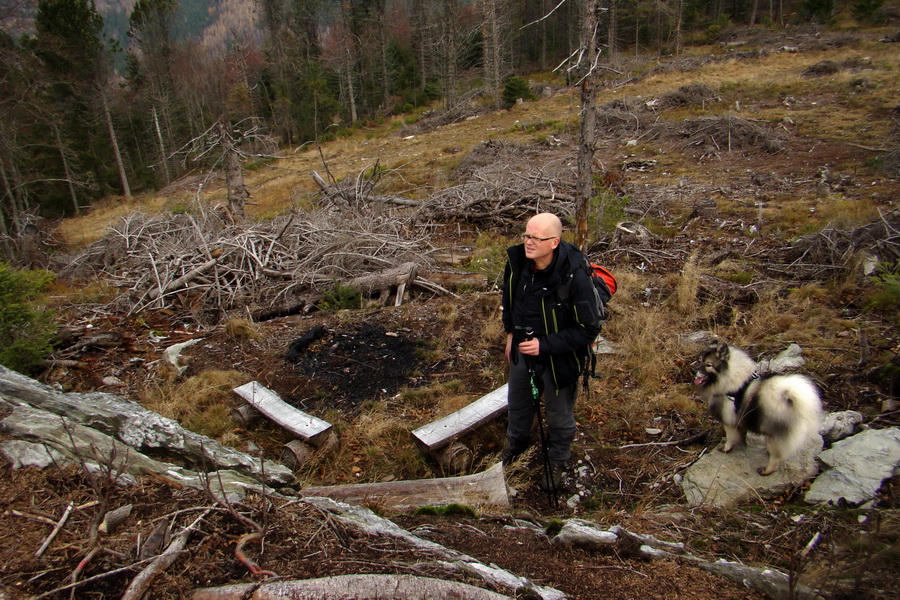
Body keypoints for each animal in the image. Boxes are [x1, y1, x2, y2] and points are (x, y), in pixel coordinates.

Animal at [696, 340, 824, 476]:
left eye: (708, 364)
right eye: (699, 361)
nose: (694, 371)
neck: (732, 379)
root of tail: (790, 400)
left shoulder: (729, 422)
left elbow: (730, 438)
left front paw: (726, 448)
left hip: (773, 436)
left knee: (776, 458)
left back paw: (766, 470)